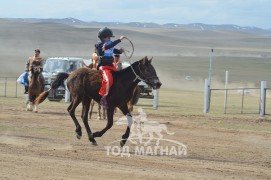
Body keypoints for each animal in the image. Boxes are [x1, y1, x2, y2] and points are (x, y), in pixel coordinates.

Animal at [34, 56, 162, 146]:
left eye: (154, 69)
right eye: (148, 69)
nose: (158, 83)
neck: (123, 82)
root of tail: (70, 75)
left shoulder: (122, 104)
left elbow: (130, 120)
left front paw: (123, 140)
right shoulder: (111, 105)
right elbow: (110, 123)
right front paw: (97, 134)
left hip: (86, 99)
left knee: (84, 117)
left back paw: (91, 138)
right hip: (78, 97)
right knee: (71, 110)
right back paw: (80, 132)